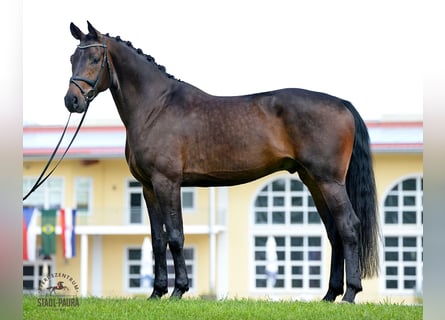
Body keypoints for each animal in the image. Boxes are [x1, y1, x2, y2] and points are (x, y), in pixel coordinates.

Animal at [65, 22, 378, 302]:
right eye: (71, 59)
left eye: (94, 58)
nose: (72, 101)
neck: (156, 107)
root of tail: (342, 103)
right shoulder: (148, 187)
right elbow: (157, 239)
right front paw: (156, 293)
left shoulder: (167, 182)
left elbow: (175, 235)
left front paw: (178, 290)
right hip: (313, 182)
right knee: (334, 232)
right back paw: (330, 295)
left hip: (329, 182)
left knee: (348, 226)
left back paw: (350, 293)